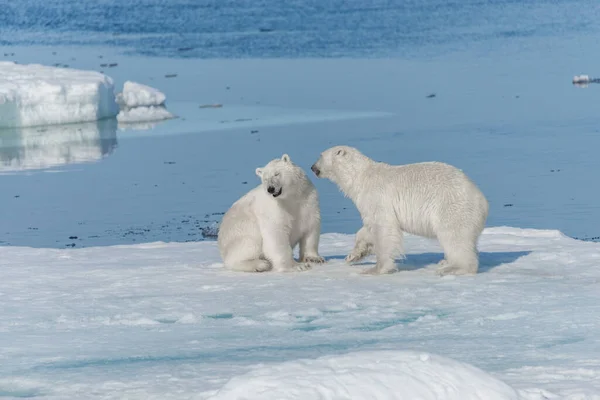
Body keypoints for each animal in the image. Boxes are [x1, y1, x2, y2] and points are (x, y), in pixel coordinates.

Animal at [312, 146, 490, 276]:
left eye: (320, 155)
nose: (313, 167)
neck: (361, 177)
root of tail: (482, 199)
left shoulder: (377, 196)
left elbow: (384, 228)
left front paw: (375, 269)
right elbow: (367, 228)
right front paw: (353, 255)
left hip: (452, 206)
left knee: (454, 235)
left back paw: (452, 268)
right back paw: (446, 261)